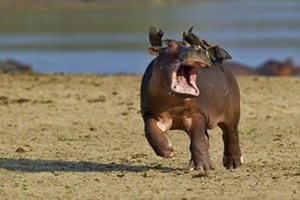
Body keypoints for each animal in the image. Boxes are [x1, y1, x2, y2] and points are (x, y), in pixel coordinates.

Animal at [141, 26, 244, 170]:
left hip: (232, 114)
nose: (195, 50)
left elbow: (198, 141)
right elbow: (151, 131)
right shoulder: (151, 114)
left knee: (230, 135)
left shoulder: (197, 114)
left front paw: (204, 168)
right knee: (207, 138)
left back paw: (233, 164)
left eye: (197, 47)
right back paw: (192, 165)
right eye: (170, 45)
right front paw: (168, 150)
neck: (174, 104)